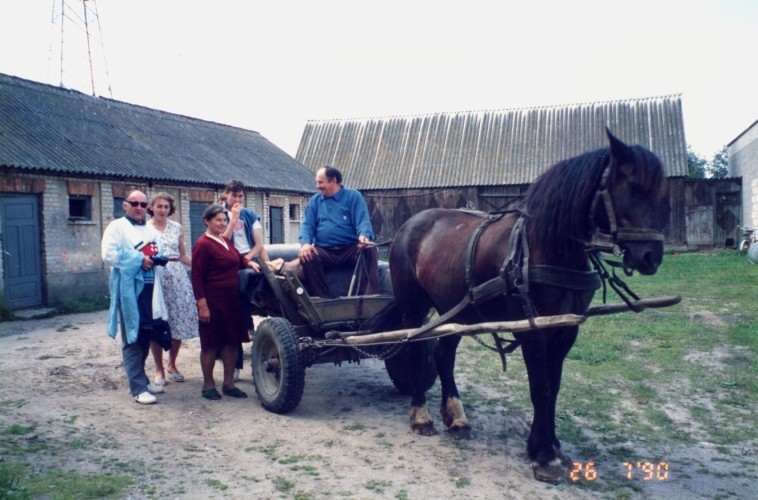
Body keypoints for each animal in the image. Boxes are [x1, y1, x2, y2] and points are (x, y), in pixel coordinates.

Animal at [378, 130, 668, 484]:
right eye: (633, 186)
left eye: (658, 191)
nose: (651, 256)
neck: (546, 247)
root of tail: (408, 226)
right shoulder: (532, 330)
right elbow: (540, 388)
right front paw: (543, 456)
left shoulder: (565, 329)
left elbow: (554, 387)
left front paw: (550, 444)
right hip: (413, 307)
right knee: (416, 353)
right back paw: (421, 415)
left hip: (455, 310)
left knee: (444, 356)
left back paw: (457, 418)